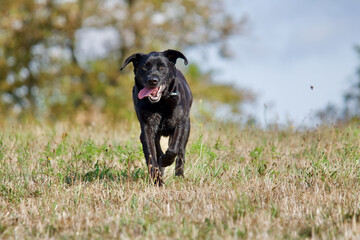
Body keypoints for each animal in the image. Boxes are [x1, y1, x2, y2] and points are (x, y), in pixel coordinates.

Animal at [121, 49, 193, 186]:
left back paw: (179, 176)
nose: (152, 80)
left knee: (180, 152)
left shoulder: (180, 125)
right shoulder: (147, 131)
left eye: (162, 67)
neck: (161, 104)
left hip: (186, 129)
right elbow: (151, 157)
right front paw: (157, 181)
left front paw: (166, 160)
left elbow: (173, 149)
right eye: (145, 66)